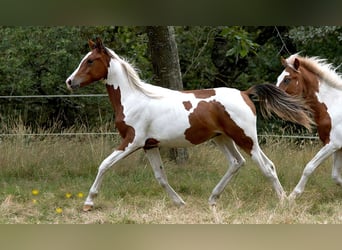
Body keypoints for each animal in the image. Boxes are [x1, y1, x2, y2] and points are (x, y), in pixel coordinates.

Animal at [65, 38, 312, 211]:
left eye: (90, 60)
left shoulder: (132, 141)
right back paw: (213, 199)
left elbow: (104, 165)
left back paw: (284, 202)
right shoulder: (149, 145)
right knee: (237, 163)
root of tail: (244, 93)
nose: (69, 81)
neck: (133, 98)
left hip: (246, 138)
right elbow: (161, 178)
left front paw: (88, 202)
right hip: (222, 138)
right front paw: (179, 203)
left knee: (267, 167)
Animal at [276, 53, 342, 200]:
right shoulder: (337, 147)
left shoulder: (333, 144)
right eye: (278, 78)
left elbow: (309, 167)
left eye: (287, 79)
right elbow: (335, 176)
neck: (333, 106)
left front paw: (292, 197)